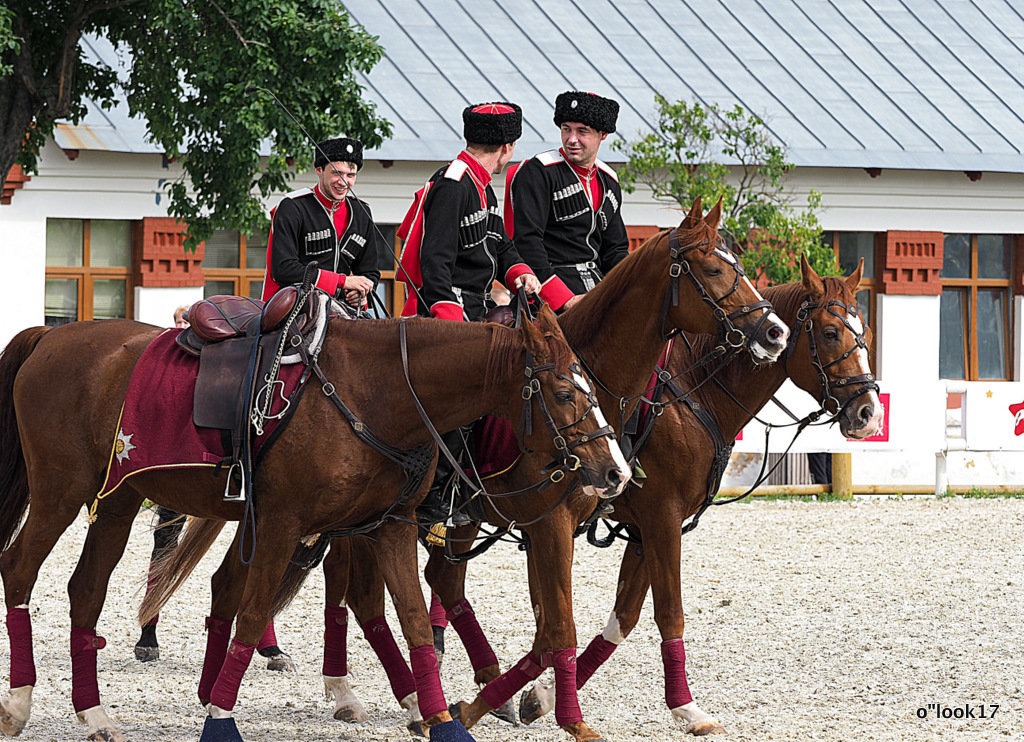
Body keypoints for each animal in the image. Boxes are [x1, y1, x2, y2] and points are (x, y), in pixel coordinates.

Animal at [0, 304, 622, 740]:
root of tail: (51, 336)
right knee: (20, 570)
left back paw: (94, 715)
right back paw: (19, 703)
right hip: (59, 493)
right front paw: (221, 719)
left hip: (119, 499)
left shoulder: (389, 526)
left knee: (86, 590)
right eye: (563, 392)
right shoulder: (281, 524)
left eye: (591, 386)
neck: (375, 391)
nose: (614, 471)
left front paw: (445, 722)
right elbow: (252, 617)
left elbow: (416, 623)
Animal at [149, 198, 790, 740]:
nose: (773, 330)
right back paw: (353, 694)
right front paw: (555, 710)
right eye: (712, 268)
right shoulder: (569, 523)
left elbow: (559, 620)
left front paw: (513, 699)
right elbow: (573, 621)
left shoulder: (589, 525)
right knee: (351, 597)